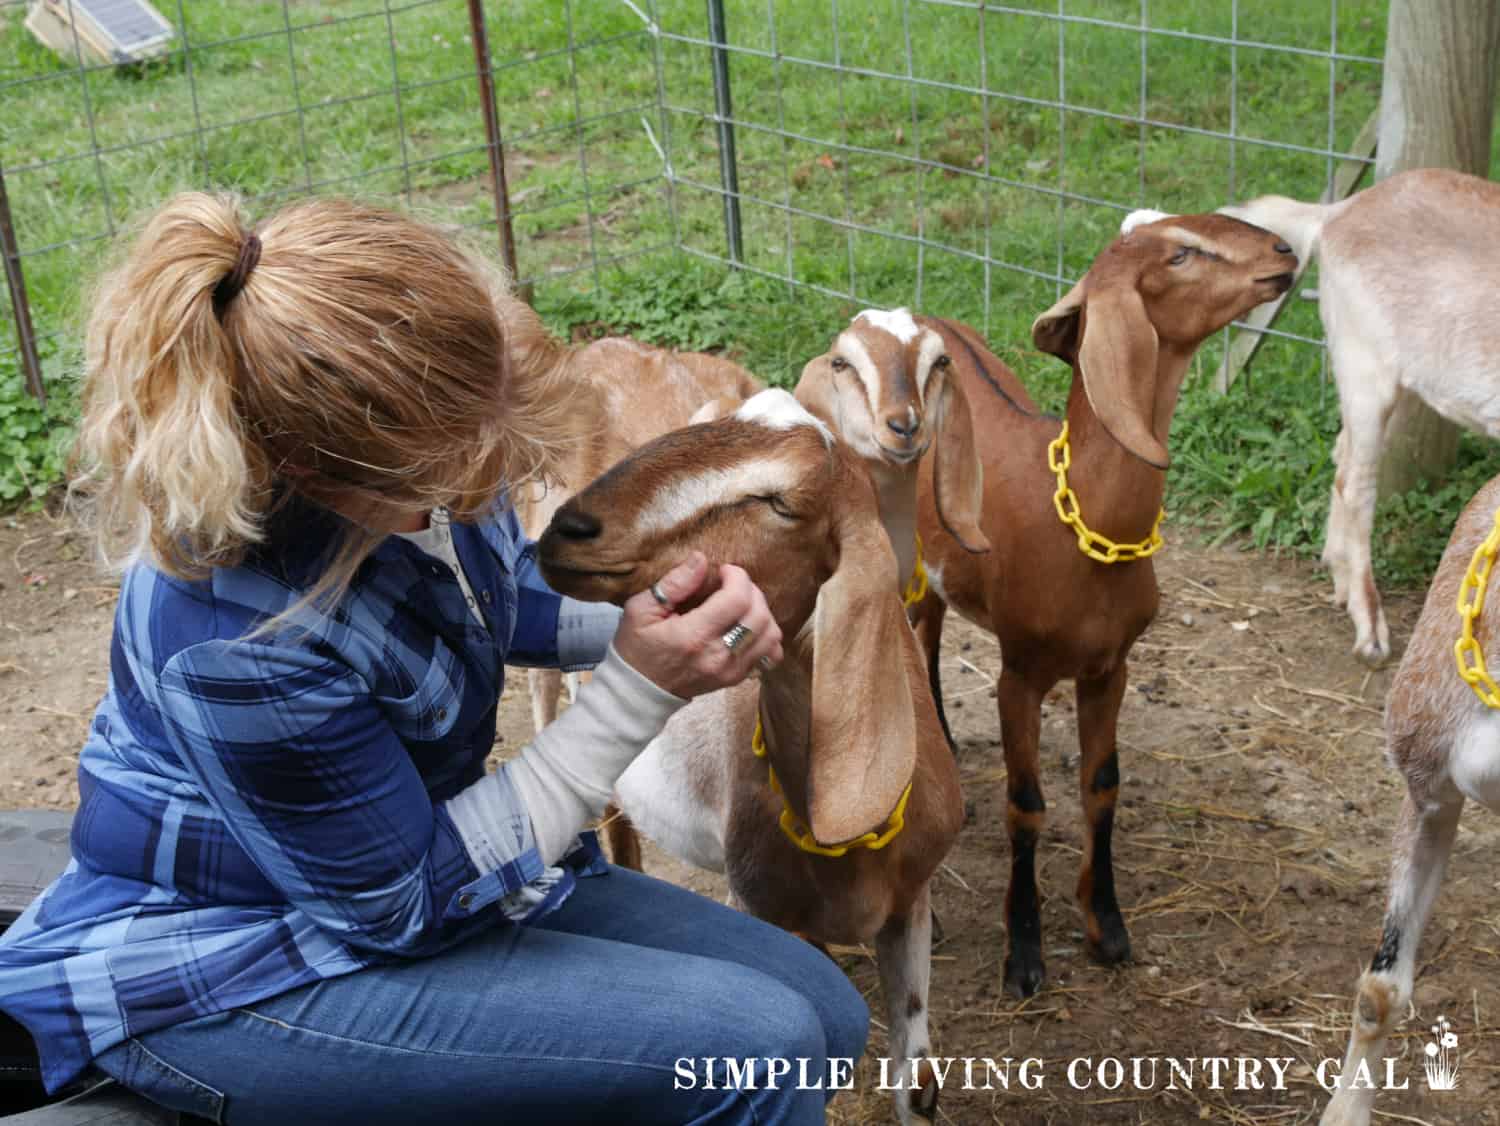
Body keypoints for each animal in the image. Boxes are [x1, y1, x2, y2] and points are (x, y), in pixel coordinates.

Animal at [905, 212, 1297, 998]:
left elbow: (1102, 788)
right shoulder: (1020, 674)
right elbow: (1027, 807)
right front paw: (1024, 954)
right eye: (1181, 254)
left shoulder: (1111, 667)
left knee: (930, 630)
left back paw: (946, 744)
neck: (1081, 523)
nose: (1285, 251)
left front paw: (1107, 927)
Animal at [1219, 168, 1500, 667]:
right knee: (1356, 483)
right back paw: (1370, 629)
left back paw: (1338, 574)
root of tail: (1337, 213)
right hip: (1364, 367)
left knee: (1340, 455)